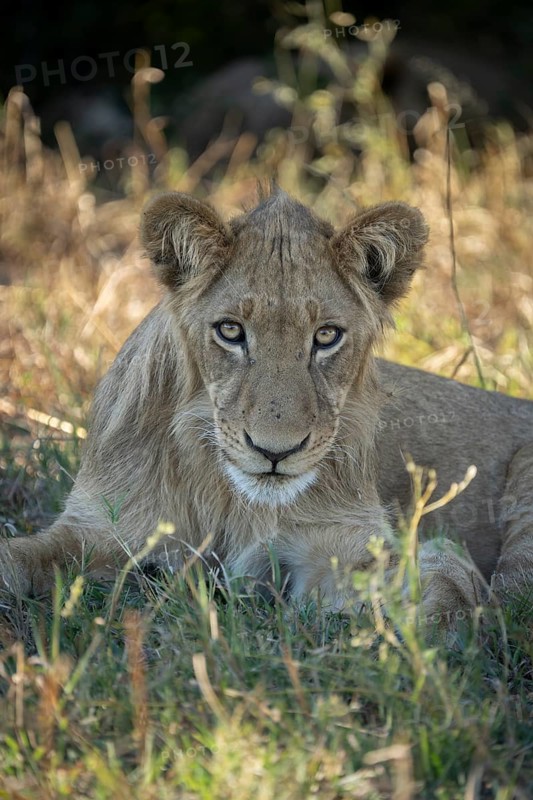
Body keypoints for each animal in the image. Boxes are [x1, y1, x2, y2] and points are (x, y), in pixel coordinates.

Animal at [2, 189, 533, 625]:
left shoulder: (340, 542)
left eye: (326, 336)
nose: (275, 452)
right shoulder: (97, 528)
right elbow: (17, 557)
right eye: (230, 331)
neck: (226, 494)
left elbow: (433, 577)